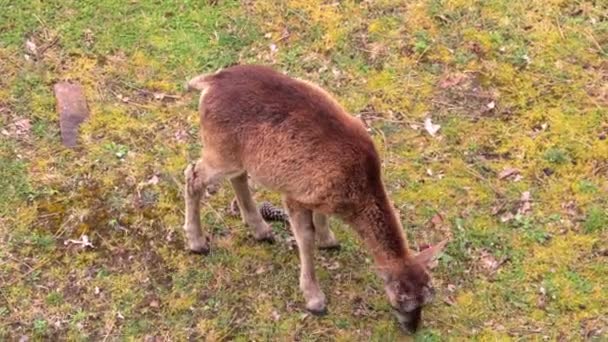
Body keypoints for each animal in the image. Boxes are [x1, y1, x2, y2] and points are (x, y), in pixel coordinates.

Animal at [182, 64, 446, 332]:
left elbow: (320, 219)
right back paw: (198, 243)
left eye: (428, 297)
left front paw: (328, 240)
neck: (356, 193)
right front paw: (315, 299)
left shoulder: (320, 197)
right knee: (193, 175)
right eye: (401, 300)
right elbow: (305, 238)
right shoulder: (295, 195)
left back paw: (260, 230)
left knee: (238, 176)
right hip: (220, 149)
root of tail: (210, 81)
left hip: (237, 154)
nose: (413, 328)